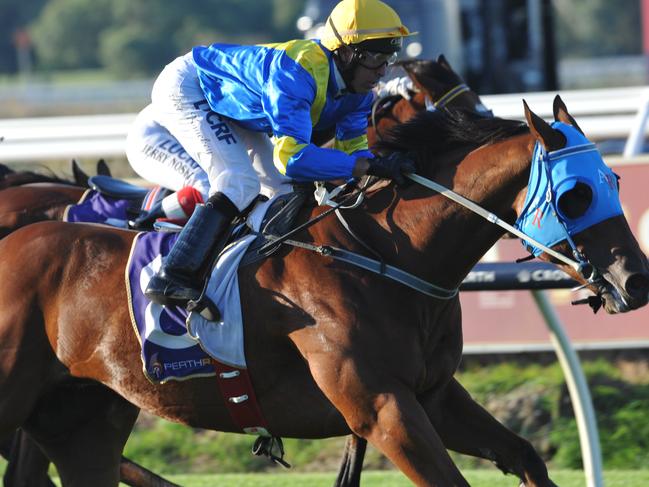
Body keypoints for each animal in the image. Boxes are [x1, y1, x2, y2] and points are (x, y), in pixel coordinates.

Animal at [0, 97, 644, 486]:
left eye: (614, 180)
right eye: (575, 195)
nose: (635, 280)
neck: (384, 253)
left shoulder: (434, 397)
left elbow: (525, 453)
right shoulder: (382, 408)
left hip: (83, 420)